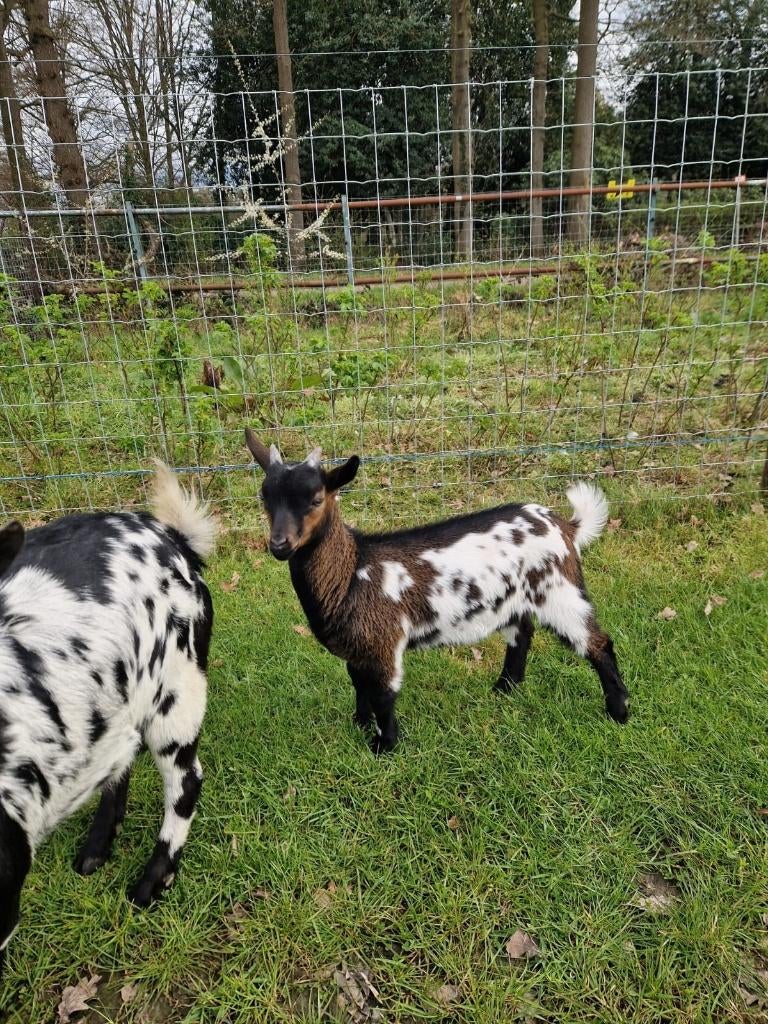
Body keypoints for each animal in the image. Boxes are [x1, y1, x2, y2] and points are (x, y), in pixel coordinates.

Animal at [245, 428, 629, 754]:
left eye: (315, 499)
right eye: (264, 497)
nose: (279, 545)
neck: (353, 572)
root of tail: (563, 525)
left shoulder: (385, 639)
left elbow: (384, 694)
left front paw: (384, 746)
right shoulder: (358, 646)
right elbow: (359, 683)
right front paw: (360, 724)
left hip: (560, 591)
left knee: (597, 642)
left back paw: (619, 711)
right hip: (515, 599)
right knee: (521, 635)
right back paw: (504, 690)